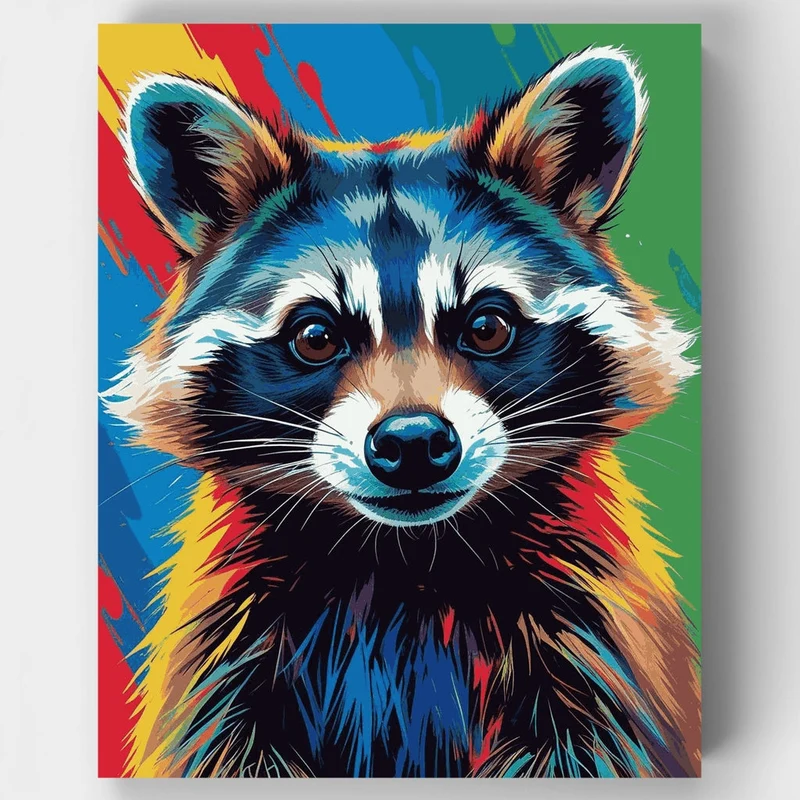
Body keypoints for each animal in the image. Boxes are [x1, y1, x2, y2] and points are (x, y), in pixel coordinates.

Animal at [104, 47, 700, 777]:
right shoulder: (224, 640)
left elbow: (600, 744)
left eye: (487, 327)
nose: (413, 440)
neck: (407, 562)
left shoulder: (596, 622)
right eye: (315, 336)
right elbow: (212, 745)